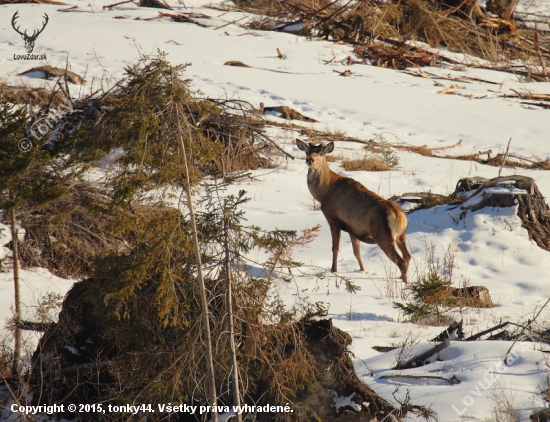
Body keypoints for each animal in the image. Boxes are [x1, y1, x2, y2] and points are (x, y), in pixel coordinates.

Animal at [298, 140, 410, 282]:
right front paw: (363, 270)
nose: (310, 159)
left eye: (321, 153)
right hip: (401, 236)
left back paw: (403, 283)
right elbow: (357, 252)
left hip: (383, 235)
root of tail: (400, 217)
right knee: (407, 256)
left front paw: (333, 270)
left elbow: (335, 248)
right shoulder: (353, 229)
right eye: (307, 151)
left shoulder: (333, 219)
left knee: (401, 262)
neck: (324, 193)